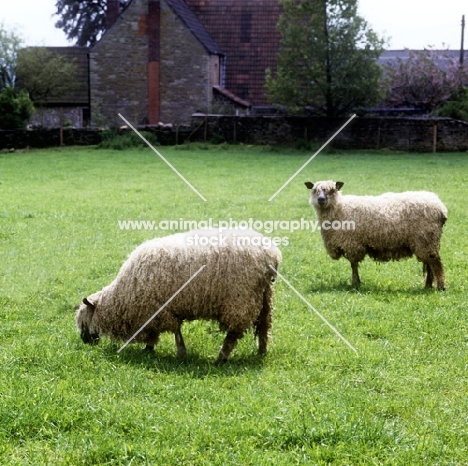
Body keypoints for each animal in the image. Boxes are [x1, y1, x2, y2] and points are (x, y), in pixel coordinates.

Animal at [76, 229, 282, 364]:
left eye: (84, 320)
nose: (85, 342)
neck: (122, 297)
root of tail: (272, 254)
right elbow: (164, 331)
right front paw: (152, 350)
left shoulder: (158, 310)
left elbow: (172, 331)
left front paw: (174, 351)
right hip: (265, 297)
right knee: (264, 327)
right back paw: (261, 352)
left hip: (240, 300)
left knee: (233, 333)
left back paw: (220, 358)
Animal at [306, 180, 448, 290]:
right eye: (315, 190)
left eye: (331, 190)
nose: (321, 199)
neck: (339, 209)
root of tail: (441, 208)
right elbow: (354, 265)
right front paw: (357, 283)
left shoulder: (352, 244)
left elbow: (353, 265)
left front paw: (355, 284)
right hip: (426, 242)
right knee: (429, 264)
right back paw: (428, 286)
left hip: (426, 239)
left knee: (436, 263)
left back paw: (440, 287)